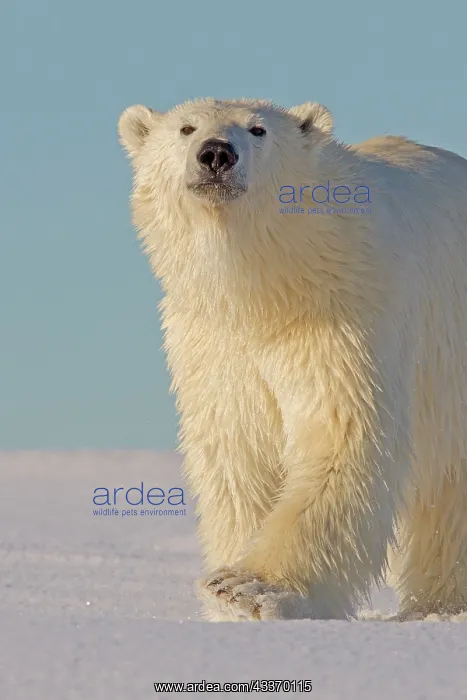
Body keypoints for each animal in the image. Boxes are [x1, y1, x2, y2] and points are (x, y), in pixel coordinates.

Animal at [118, 97, 467, 621]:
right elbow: (239, 452)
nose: (216, 153)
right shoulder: (216, 342)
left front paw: (247, 588)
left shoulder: (346, 312)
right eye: (186, 128)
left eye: (258, 130)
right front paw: (228, 592)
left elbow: (340, 435)